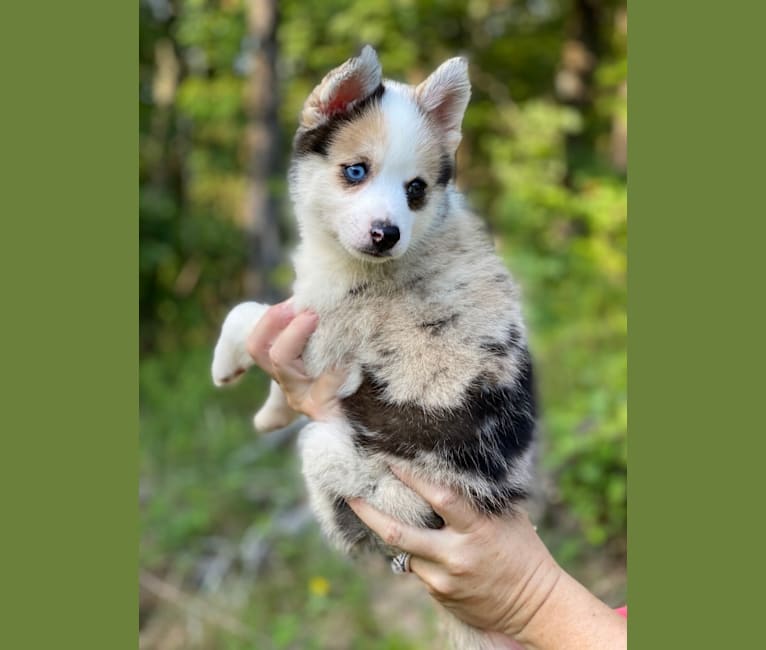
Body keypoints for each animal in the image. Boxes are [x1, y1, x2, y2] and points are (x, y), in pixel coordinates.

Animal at [213, 46, 536, 648]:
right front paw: (270, 411)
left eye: (416, 189)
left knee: (356, 531)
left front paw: (228, 365)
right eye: (355, 171)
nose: (387, 235)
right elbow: (262, 330)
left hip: (341, 461)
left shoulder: (325, 327)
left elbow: (247, 313)